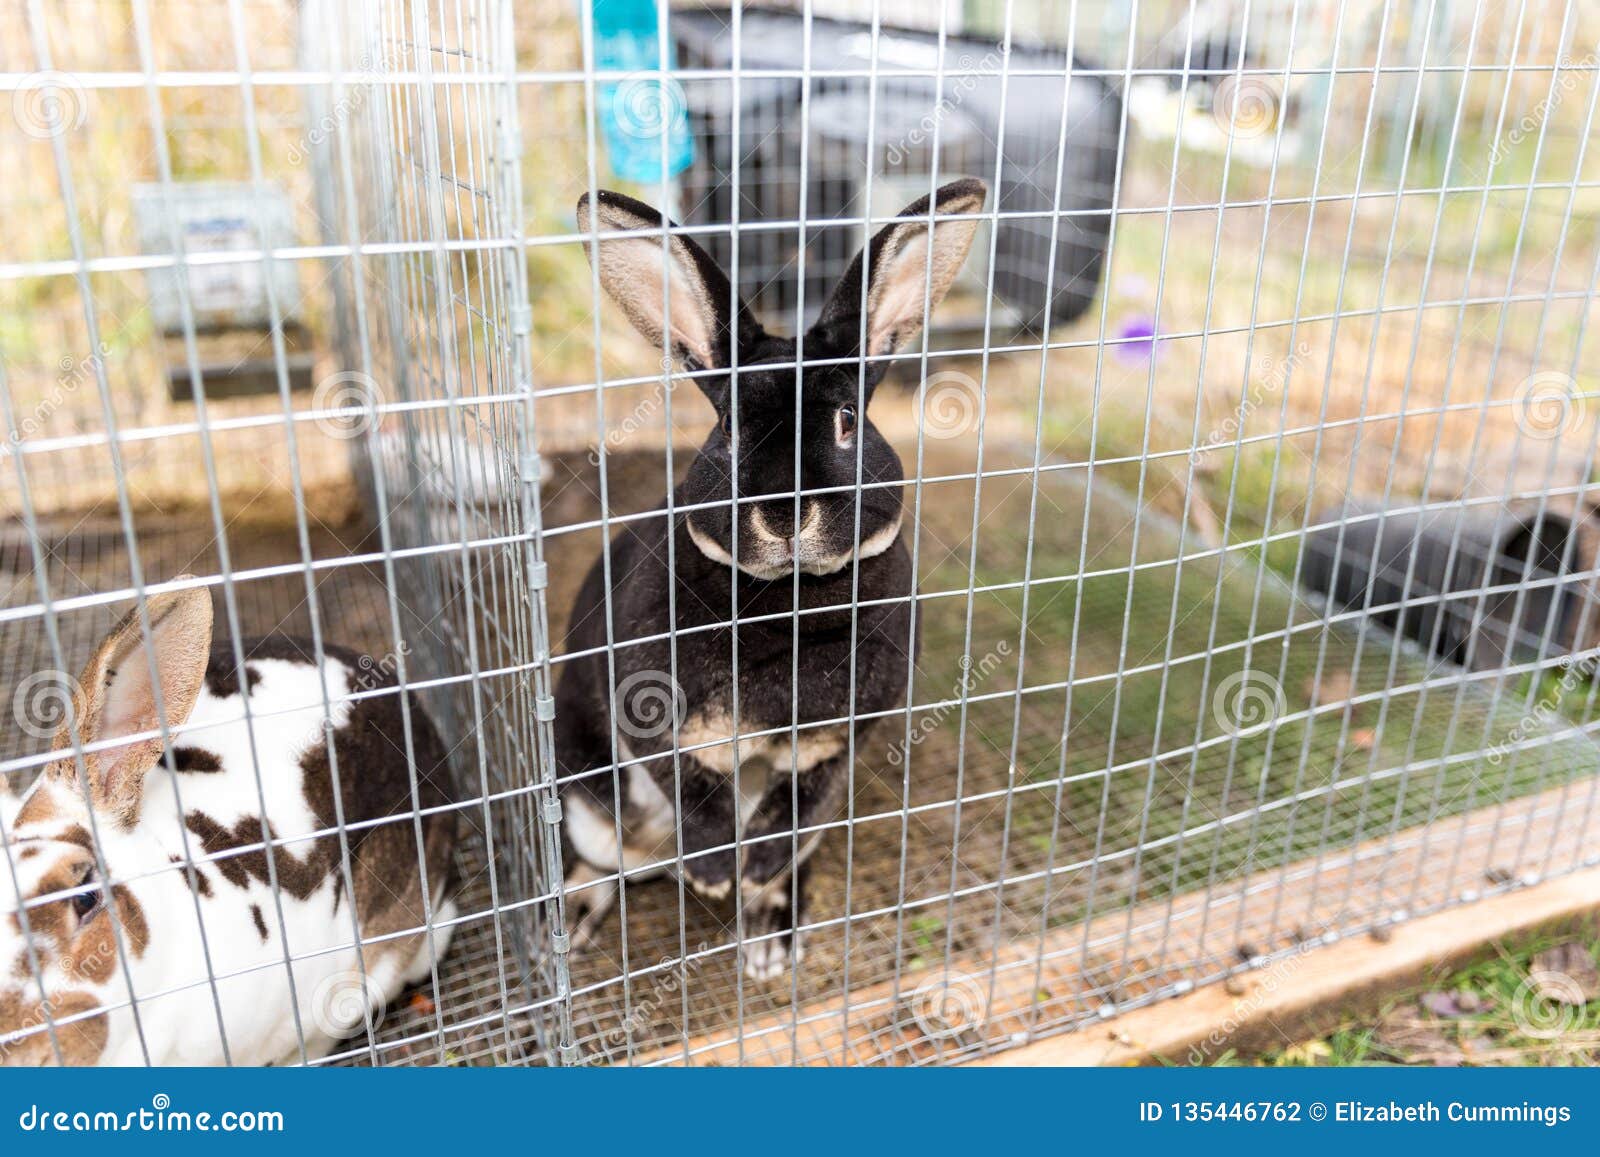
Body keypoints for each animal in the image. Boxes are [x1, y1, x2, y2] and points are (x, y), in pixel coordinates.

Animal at [557, 178, 987, 982]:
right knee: (604, 858)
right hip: (587, 801)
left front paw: (752, 873)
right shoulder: (653, 718)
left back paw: (769, 934)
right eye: (729, 431)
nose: (786, 512)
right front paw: (713, 872)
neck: (789, 597)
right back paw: (573, 921)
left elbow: (792, 806)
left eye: (848, 420)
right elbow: (695, 791)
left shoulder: (834, 743)